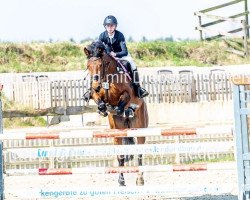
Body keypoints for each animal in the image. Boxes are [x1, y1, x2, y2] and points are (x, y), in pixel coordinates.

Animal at [83, 41, 149, 187]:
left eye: (101, 65)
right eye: (88, 66)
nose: (95, 85)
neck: (108, 77)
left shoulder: (127, 94)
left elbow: (123, 100)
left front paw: (123, 109)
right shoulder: (97, 95)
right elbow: (100, 101)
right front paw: (103, 109)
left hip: (140, 126)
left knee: (140, 152)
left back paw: (140, 179)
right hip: (117, 131)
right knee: (121, 154)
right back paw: (121, 180)